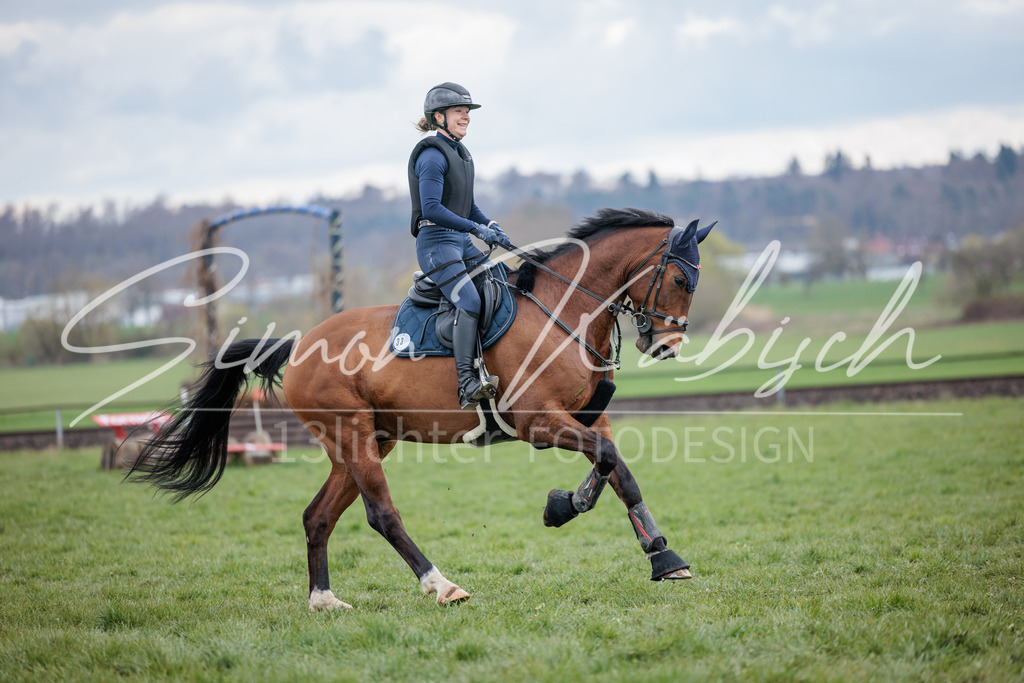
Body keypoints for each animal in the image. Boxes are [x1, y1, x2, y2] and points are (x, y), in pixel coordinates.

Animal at [130, 207, 715, 610]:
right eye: (680, 279)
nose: (667, 346)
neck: (563, 308)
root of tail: (297, 345)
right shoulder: (538, 423)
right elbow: (608, 463)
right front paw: (563, 506)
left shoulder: (591, 418)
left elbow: (618, 470)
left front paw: (663, 557)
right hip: (354, 439)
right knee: (381, 513)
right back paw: (441, 584)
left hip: (366, 442)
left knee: (318, 515)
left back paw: (324, 600)